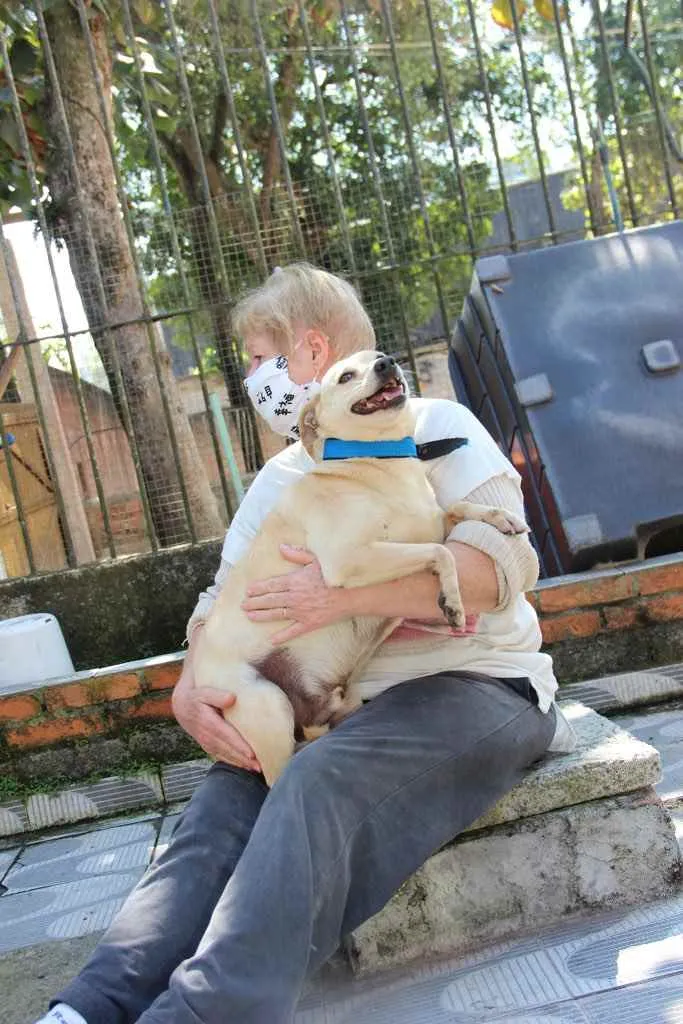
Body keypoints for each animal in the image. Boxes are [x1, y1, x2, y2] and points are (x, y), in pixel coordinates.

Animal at [194, 352, 528, 782]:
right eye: (345, 376)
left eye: (378, 356)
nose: (387, 363)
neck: (374, 461)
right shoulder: (349, 558)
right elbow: (442, 552)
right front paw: (452, 603)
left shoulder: (430, 523)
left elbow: (457, 511)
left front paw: (501, 517)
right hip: (268, 707)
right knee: (277, 777)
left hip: (342, 702)